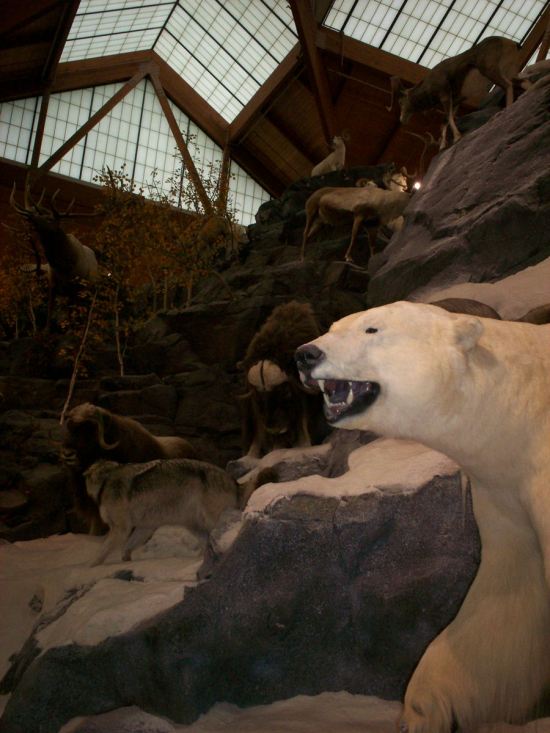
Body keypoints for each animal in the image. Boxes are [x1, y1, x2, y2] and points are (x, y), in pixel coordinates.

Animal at [295, 300, 550, 733]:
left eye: (371, 329)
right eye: (333, 326)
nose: (306, 354)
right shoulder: (506, 496)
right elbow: (506, 601)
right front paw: (424, 709)